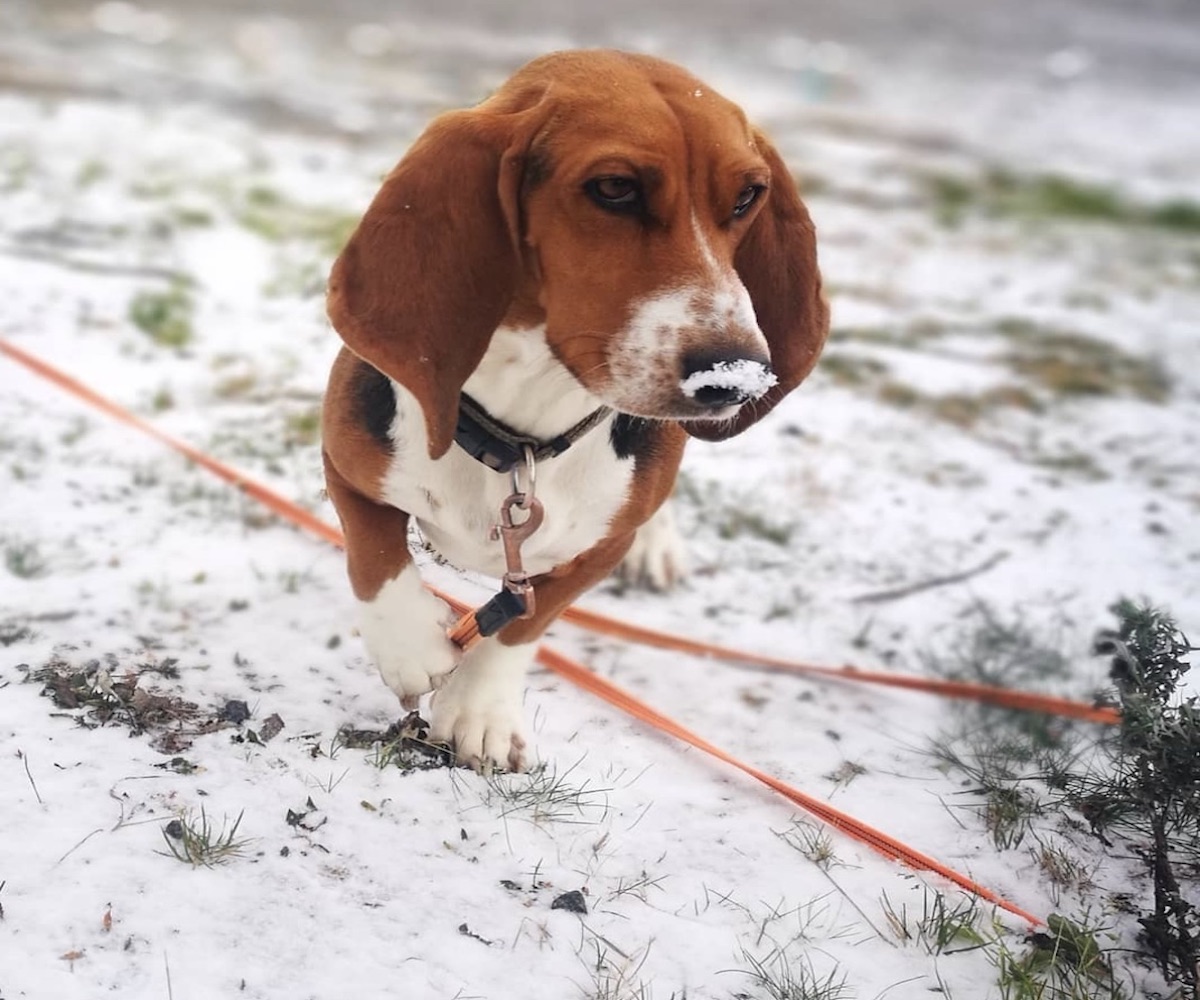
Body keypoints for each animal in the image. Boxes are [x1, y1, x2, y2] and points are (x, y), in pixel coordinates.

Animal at [321, 48, 825, 773]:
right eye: (614, 188)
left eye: (746, 197)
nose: (735, 377)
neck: (522, 438)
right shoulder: (344, 462)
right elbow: (374, 553)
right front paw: (411, 646)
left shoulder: (600, 548)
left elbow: (526, 622)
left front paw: (480, 712)